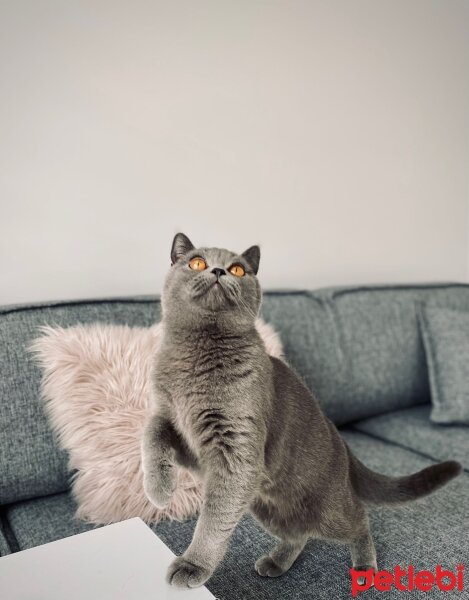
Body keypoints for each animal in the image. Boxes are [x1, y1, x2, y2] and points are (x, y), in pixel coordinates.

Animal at [140, 236, 460, 592]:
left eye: (238, 269)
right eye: (196, 262)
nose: (220, 270)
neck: (195, 359)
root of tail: (341, 440)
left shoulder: (236, 452)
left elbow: (213, 520)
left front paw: (192, 565)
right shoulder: (181, 430)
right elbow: (151, 431)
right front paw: (159, 490)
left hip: (326, 508)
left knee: (358, 519)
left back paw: (364, 568)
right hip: (268, 505)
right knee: (298, 533)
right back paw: (276, 562)